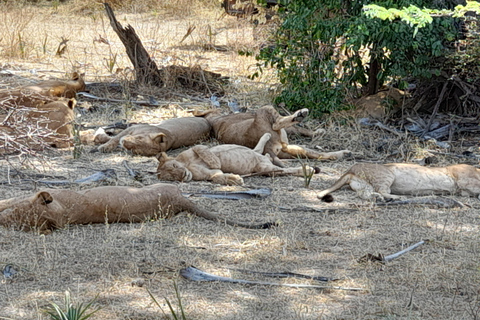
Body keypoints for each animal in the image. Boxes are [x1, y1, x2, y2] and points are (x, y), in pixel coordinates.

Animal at [156, 131, 316, 184]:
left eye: (174, 166)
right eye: (171, 177)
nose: (183, 175)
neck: (187, 166)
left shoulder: (196, 148)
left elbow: (201, 149)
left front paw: (215, 161)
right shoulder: (210, 175)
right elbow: (218, 177)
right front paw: (236, 180)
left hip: (255, 155)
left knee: (257, 149)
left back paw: (267, 135)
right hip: (264, 167)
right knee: (286, 170)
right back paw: (308, 170)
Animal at [193, 107, 350, 168]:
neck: (213, 121)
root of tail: (267, 148)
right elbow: (298, 128)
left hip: (290, 149)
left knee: (319, 155)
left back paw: (343, 153)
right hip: (265, 111)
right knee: (278, 123)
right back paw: (300, 114)